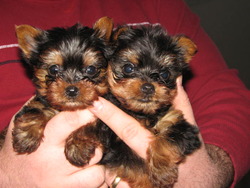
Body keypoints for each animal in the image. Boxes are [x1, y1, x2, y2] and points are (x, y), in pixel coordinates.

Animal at [11, 16, 113, 166]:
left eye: (91, 69)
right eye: (54, 69)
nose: (72, 90)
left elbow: (93, 125)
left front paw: (78, 146)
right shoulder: (44, 101)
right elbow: (36, 108)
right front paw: (26, 134)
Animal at [99, 24, 201, 187]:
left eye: (165, 74)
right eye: (128, 68)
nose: (148, 87)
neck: (141, 113)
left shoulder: (177, 123)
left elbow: (167, 139)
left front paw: (162, 171)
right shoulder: (114, 143)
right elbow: (134, 165)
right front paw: (152, 179)